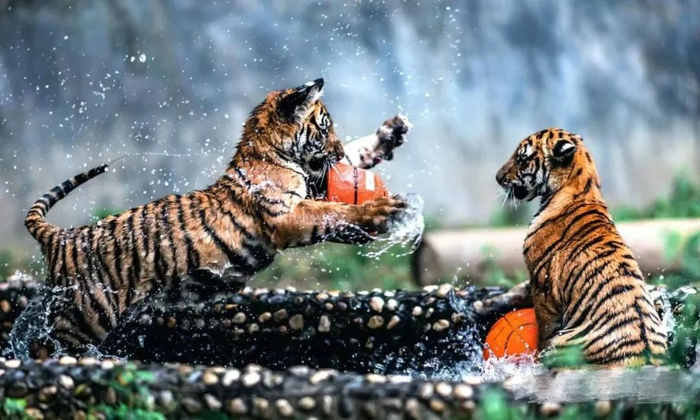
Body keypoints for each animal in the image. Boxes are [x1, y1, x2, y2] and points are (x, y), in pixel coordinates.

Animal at [23, 78, 409, 353]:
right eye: (324, 127)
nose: (338, 152)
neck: (272, 152)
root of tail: (61, 236)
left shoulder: (313, 187)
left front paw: (389, 134)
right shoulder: (287, 215)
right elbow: (333, 211)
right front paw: (381, 210)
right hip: (86, 315)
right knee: (44, 345)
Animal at [478, 128, 667, 367]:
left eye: (522, 158)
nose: (497, 178)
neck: (584, 186)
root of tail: (644, 356)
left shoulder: (543, 287)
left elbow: (543, 328)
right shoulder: (535, 280)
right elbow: (516, 292)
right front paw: (482, 305)